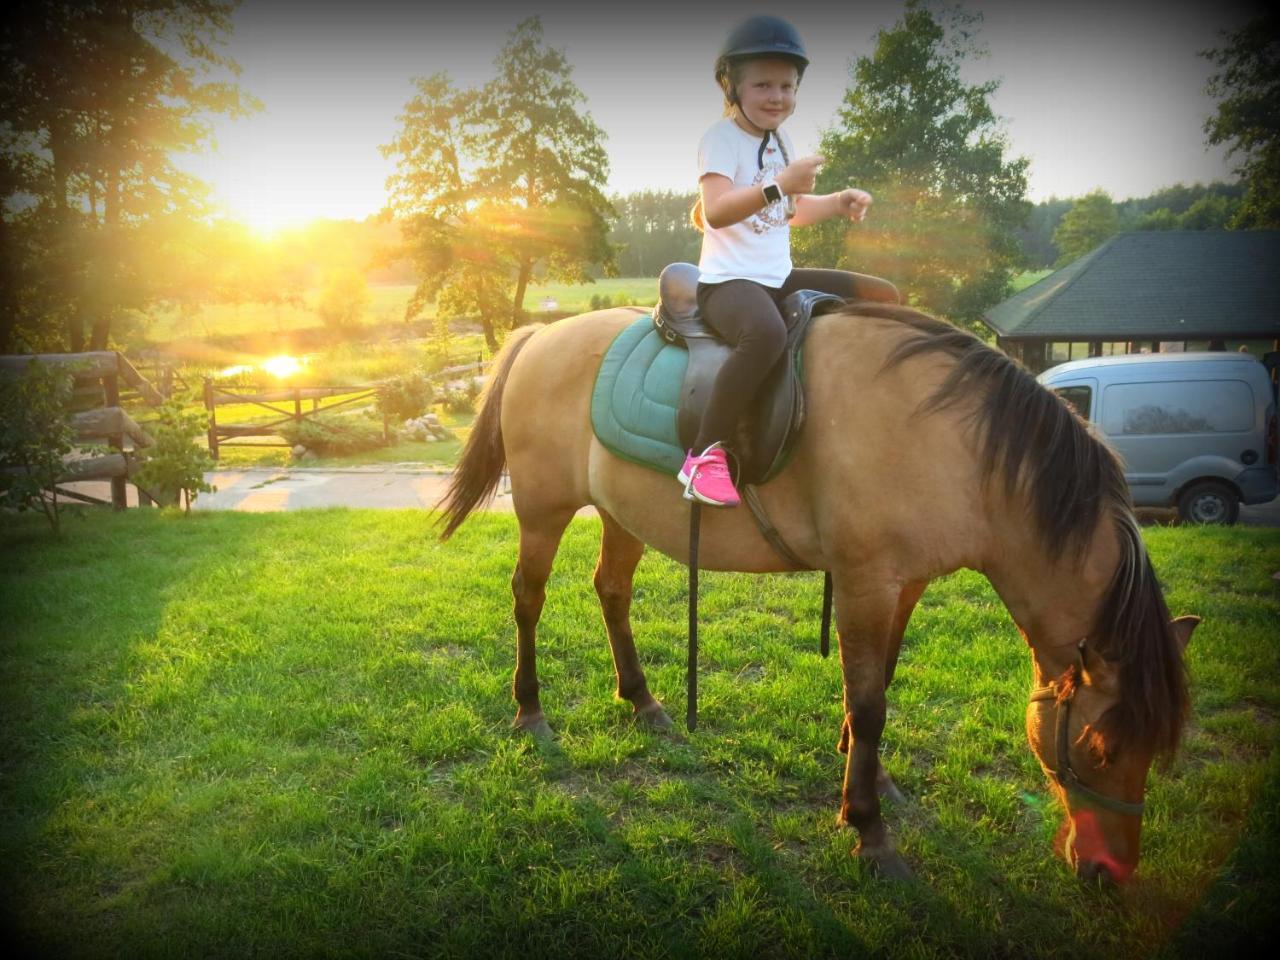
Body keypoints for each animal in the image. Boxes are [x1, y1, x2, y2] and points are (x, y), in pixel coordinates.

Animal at [435, 305, 1192, 885]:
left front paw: (872, 780)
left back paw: (643, 700)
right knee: (527, 599)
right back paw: (529, 710)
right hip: (542, 510)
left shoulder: (905, 583)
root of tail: (542, 335)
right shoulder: (863, 580)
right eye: (1099, 750)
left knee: (612, 591)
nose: (1109, 873)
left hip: (621, 514)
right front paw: (869, 830)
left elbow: (881, 681)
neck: (956, 449)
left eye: (1156, 752)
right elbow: (870, 700)